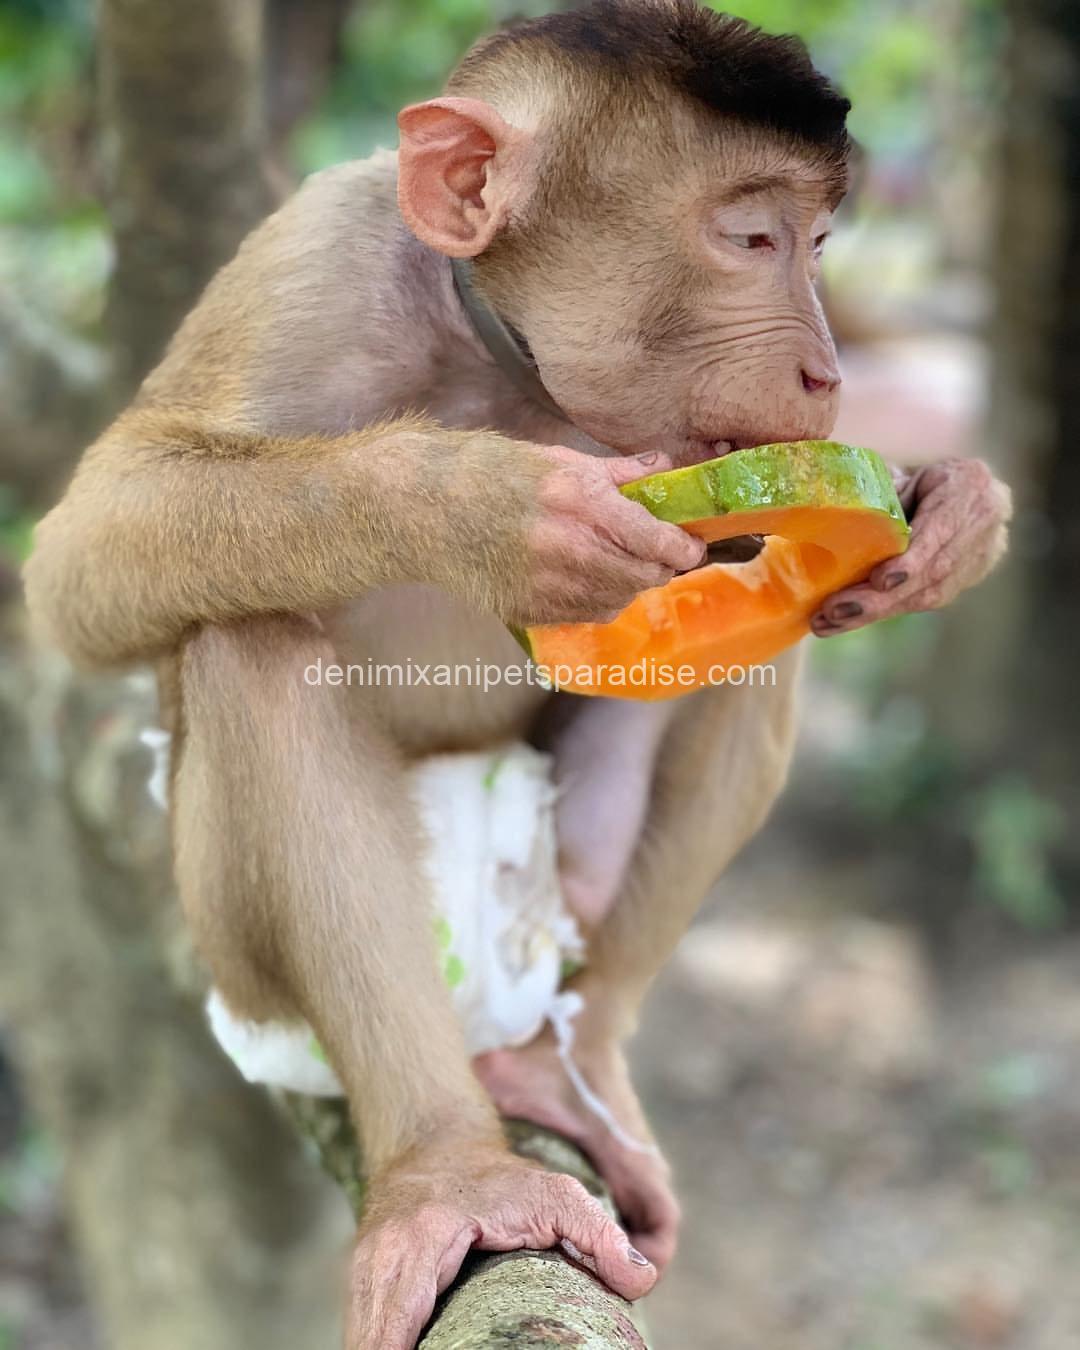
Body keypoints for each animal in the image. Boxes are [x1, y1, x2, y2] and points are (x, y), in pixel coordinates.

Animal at [23, 3, 1012, 1347]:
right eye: (750, 238)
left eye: (819, 245)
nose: (826, 374)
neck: (506, 360)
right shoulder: (313, 261)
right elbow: (90, 548)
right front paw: (483, 507)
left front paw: (954, 509)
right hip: (243, 979)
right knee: (248, 640)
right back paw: (449, 1168)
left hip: (554, 887)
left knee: (773, 631)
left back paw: (567, 1062)